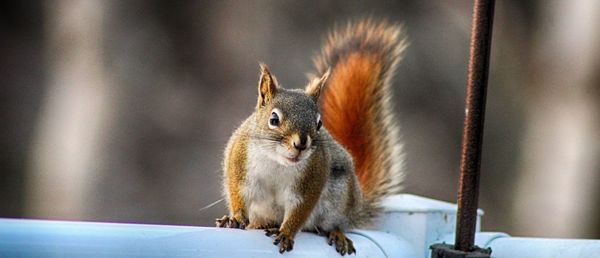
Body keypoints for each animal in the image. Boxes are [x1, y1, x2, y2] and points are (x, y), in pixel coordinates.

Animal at [216, 19, 408, 255]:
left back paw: (337, 234)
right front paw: (234, 218)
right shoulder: (240, 162)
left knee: (332, 223)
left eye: (319, 123)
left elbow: (300, 210)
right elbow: (237, 193)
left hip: (339, 198)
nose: (301, 144)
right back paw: (260, 224)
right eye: (273, 119)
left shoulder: (311, 179)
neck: (277, 163)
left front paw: (286, 233)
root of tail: (358, 206)